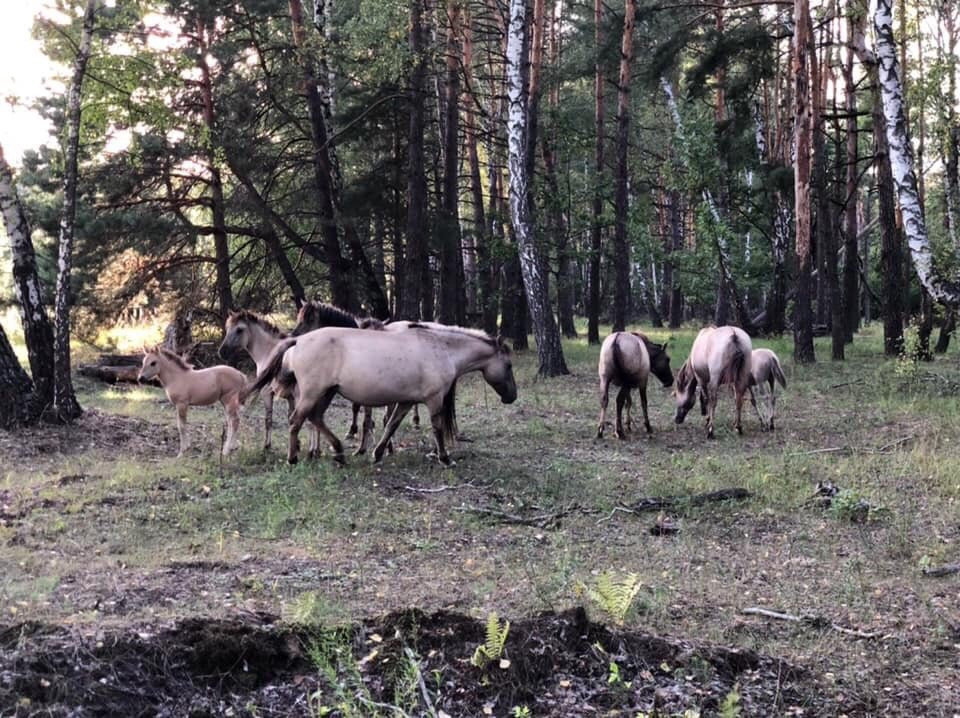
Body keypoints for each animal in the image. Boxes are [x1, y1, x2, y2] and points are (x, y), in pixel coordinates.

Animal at [244, 324, 520, 466]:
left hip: (326, 393)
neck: (440, 349)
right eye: (508, 365)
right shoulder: (433, 400)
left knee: (316, 419)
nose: (512, 397)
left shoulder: (407, 402)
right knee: (296, 421)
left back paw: (339, 452)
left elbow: (391, 425)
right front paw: (444, 458)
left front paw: (377, 453)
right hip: (314, 393)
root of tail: (298, 340)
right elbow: (438, 428)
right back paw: (293, 458)